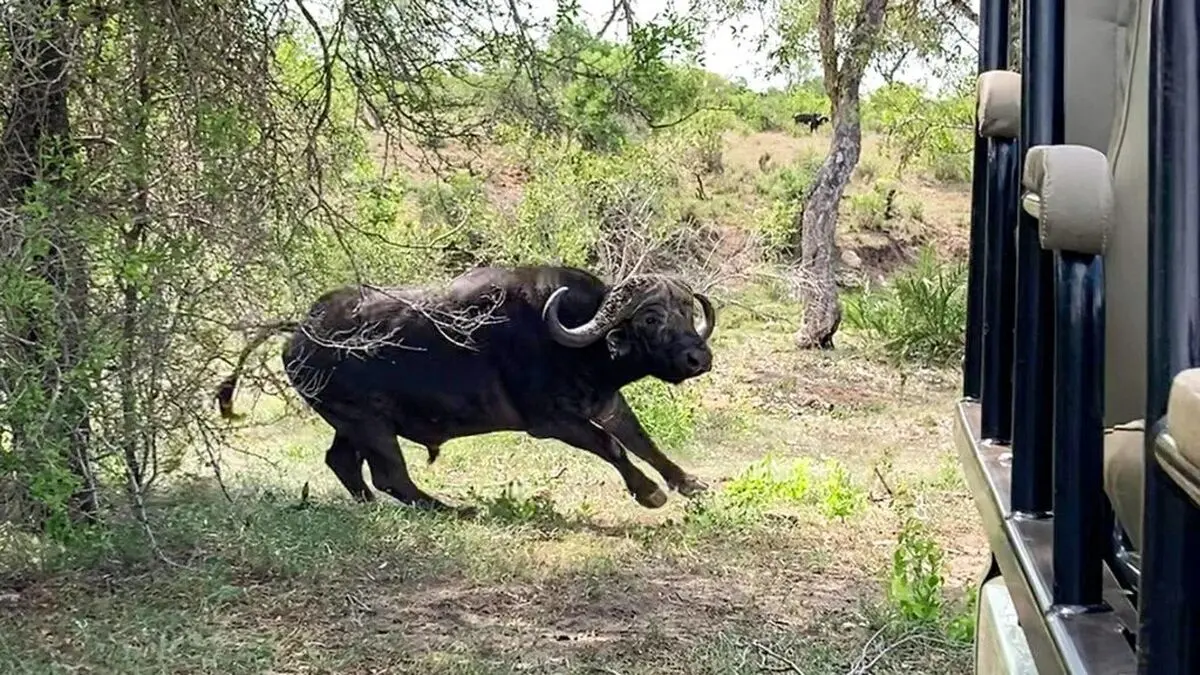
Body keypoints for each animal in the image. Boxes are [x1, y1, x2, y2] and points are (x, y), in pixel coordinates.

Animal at [216, 265, 717, 511]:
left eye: (687, 311)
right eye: (651, 318)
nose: (699, 358)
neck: (575, 341)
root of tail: (300, 331)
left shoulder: (606, 402)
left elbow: (642, 440)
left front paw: (688, 483)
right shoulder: (552, 421)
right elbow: (612, 446)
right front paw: (649, 493)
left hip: (351, 424)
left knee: (343, 463)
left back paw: (370, 506)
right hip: (368, 423)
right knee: (391, 476)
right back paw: (451, 509)